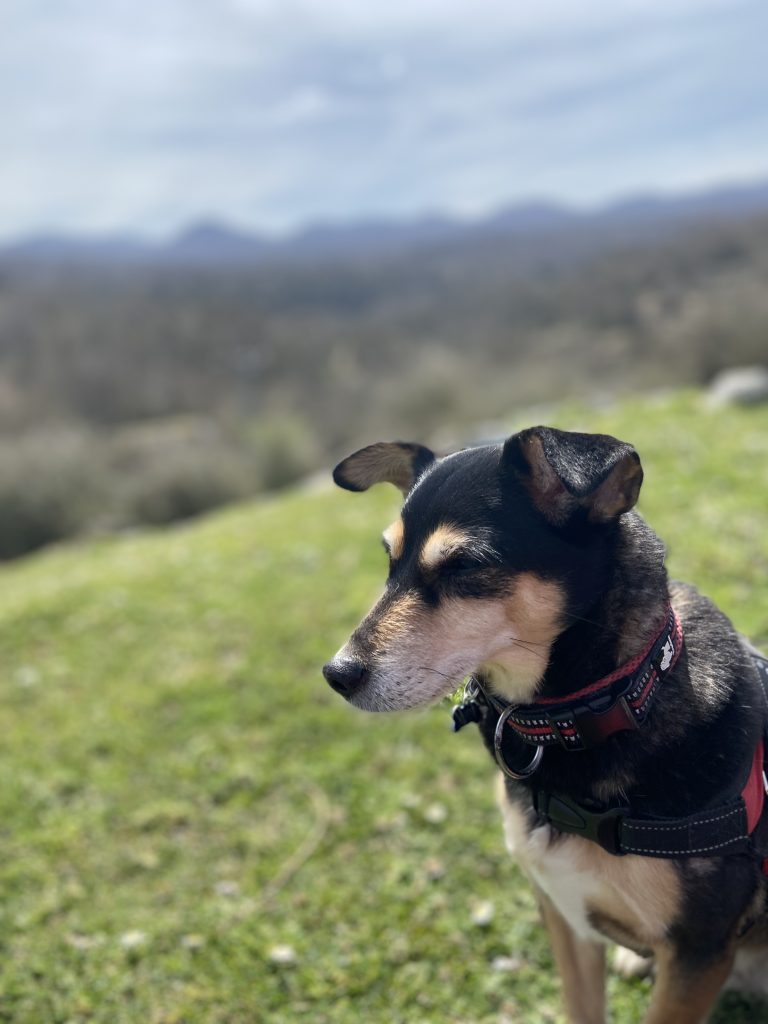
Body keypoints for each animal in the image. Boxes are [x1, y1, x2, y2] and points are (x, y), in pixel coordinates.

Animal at [323, 428, 768, 1019]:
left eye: (464, 566)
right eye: (390, 562)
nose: (336, 674)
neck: (605, 707)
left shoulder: (699, 950)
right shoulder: (563, 913)